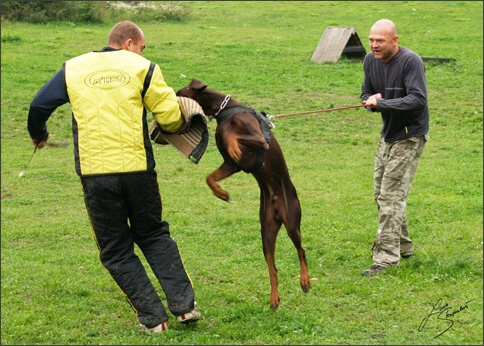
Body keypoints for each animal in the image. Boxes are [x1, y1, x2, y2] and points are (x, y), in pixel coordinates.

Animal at [177, 79, 310, 310]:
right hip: (266, 231)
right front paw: (221, 193)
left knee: (301, 251)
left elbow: (236, 136)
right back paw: (274, 298)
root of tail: (277, 208)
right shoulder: (232, 164)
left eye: (178, 93)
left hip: (292, 222)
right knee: (273, 267)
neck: (226, 111)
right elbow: (210, 177)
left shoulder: (257, 140)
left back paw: (305, 280)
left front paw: (233, 144)